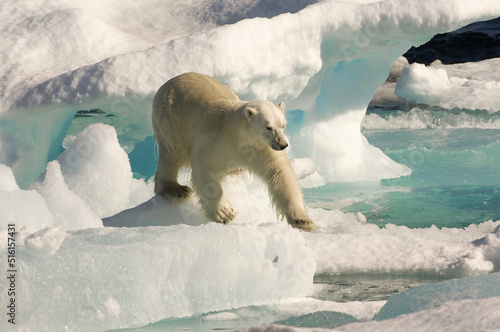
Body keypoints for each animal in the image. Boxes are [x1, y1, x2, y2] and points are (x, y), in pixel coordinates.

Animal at [151, 72, 316, 231]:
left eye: (283, 125)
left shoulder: (261, 148)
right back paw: (176, 190)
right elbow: (203, 165)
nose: (283, 144)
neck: (240, 136)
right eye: (268, 127)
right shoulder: (218, 141)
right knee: (171, 155)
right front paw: (224, 212)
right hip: (171, 122)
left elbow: (280, 173)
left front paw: (302, 219)